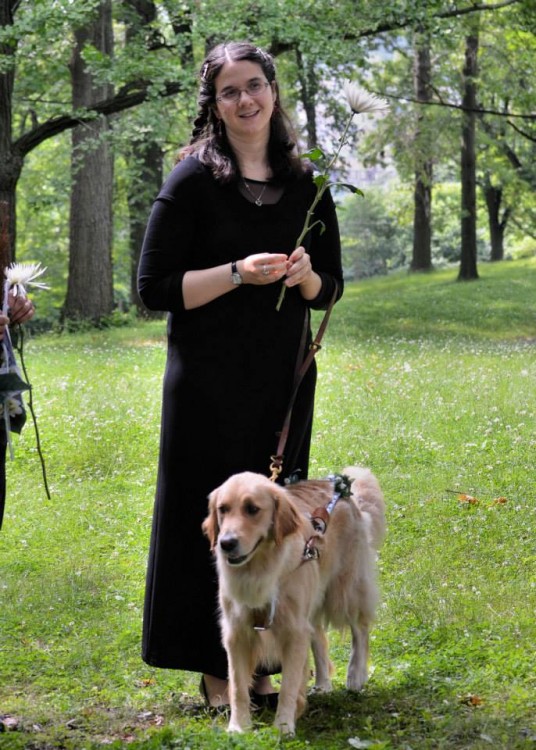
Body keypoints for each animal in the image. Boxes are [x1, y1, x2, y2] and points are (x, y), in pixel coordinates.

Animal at [202, 468, 386, 736]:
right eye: (222, 509)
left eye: (252, 509)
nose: (226, 543)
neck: (260, 569)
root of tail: (340, 485)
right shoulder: (237, 632)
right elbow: (237, 686)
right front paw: (238, 726)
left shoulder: (293, 631)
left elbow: (289, 685)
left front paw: (283, 726)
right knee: (319, 637)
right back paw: (323, 683)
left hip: (344, 589)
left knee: (360, 629)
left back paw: (355, 675)